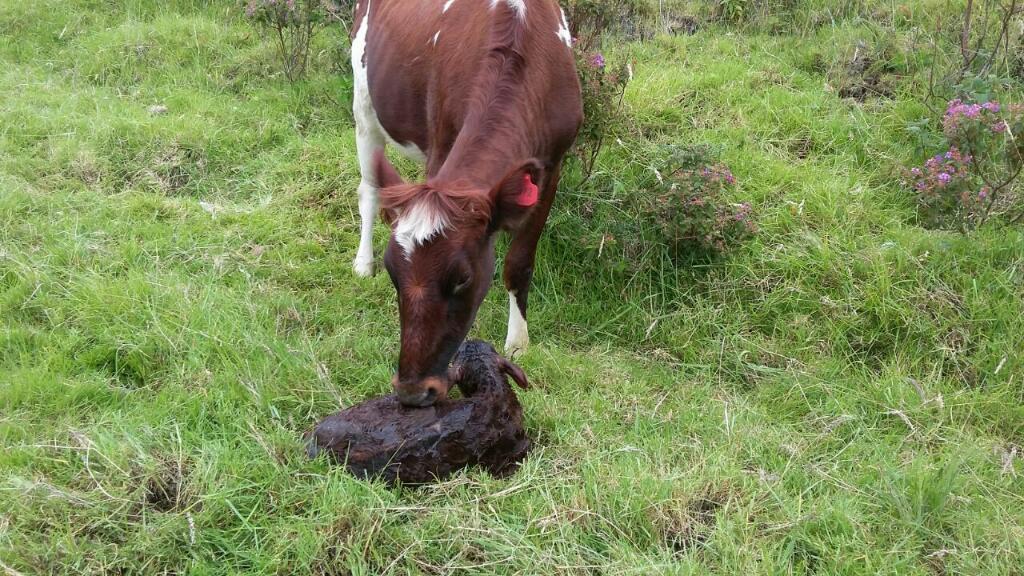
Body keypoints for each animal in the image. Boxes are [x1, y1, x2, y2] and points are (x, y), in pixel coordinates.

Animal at [348, 0, 581, 405]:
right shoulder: (441, 146)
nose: (412, 390)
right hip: (364, 103)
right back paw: (363, 262)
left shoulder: (553, 164)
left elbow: (519, 262)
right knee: (370, 190)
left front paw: (518, 343)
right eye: (393, 273)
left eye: (462, 279)